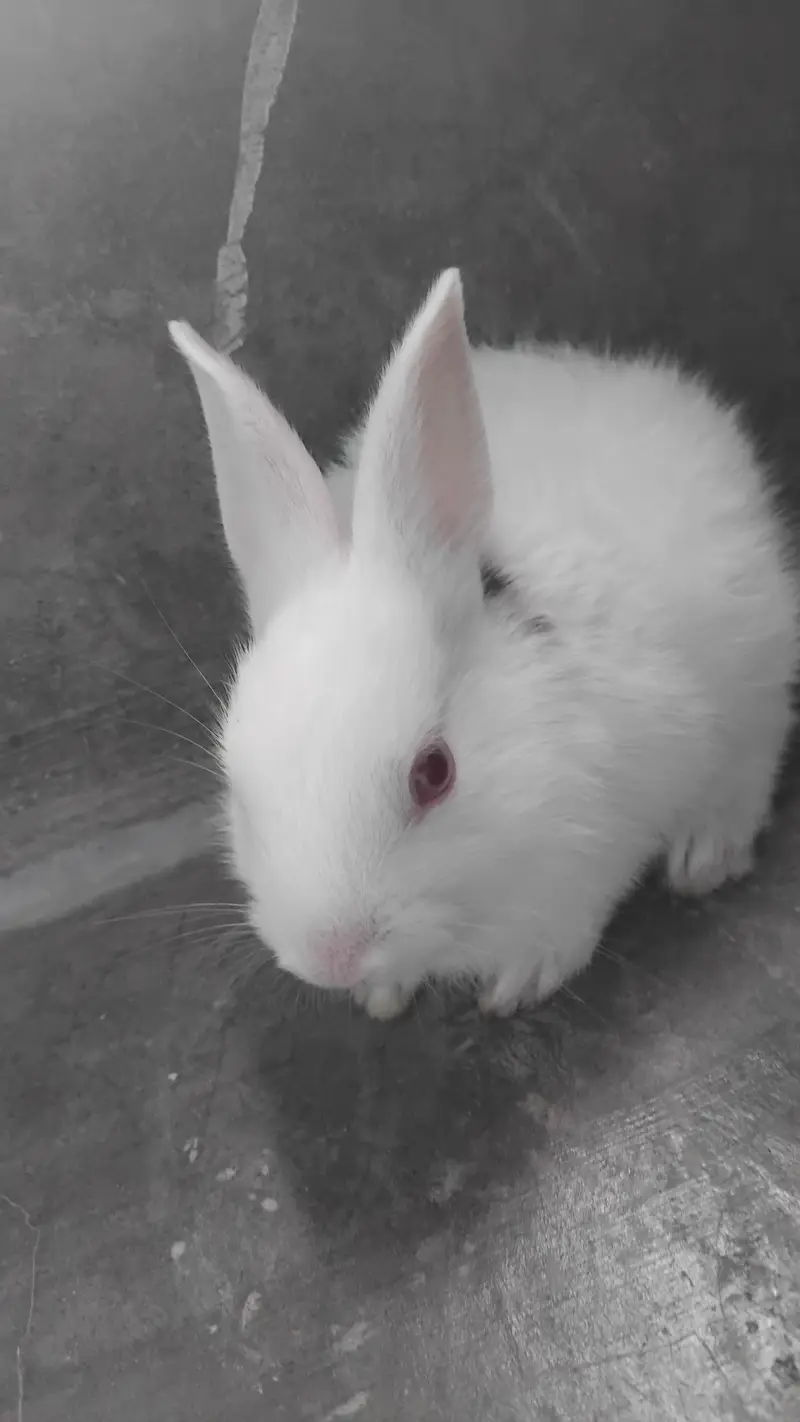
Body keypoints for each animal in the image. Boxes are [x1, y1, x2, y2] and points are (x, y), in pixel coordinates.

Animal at [168, 269, 798, 1020]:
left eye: (434, 773)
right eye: (238, 787)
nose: (333, 957)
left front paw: (521, 980)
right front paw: (382, 994)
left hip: (758, 658)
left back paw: (707, 855)